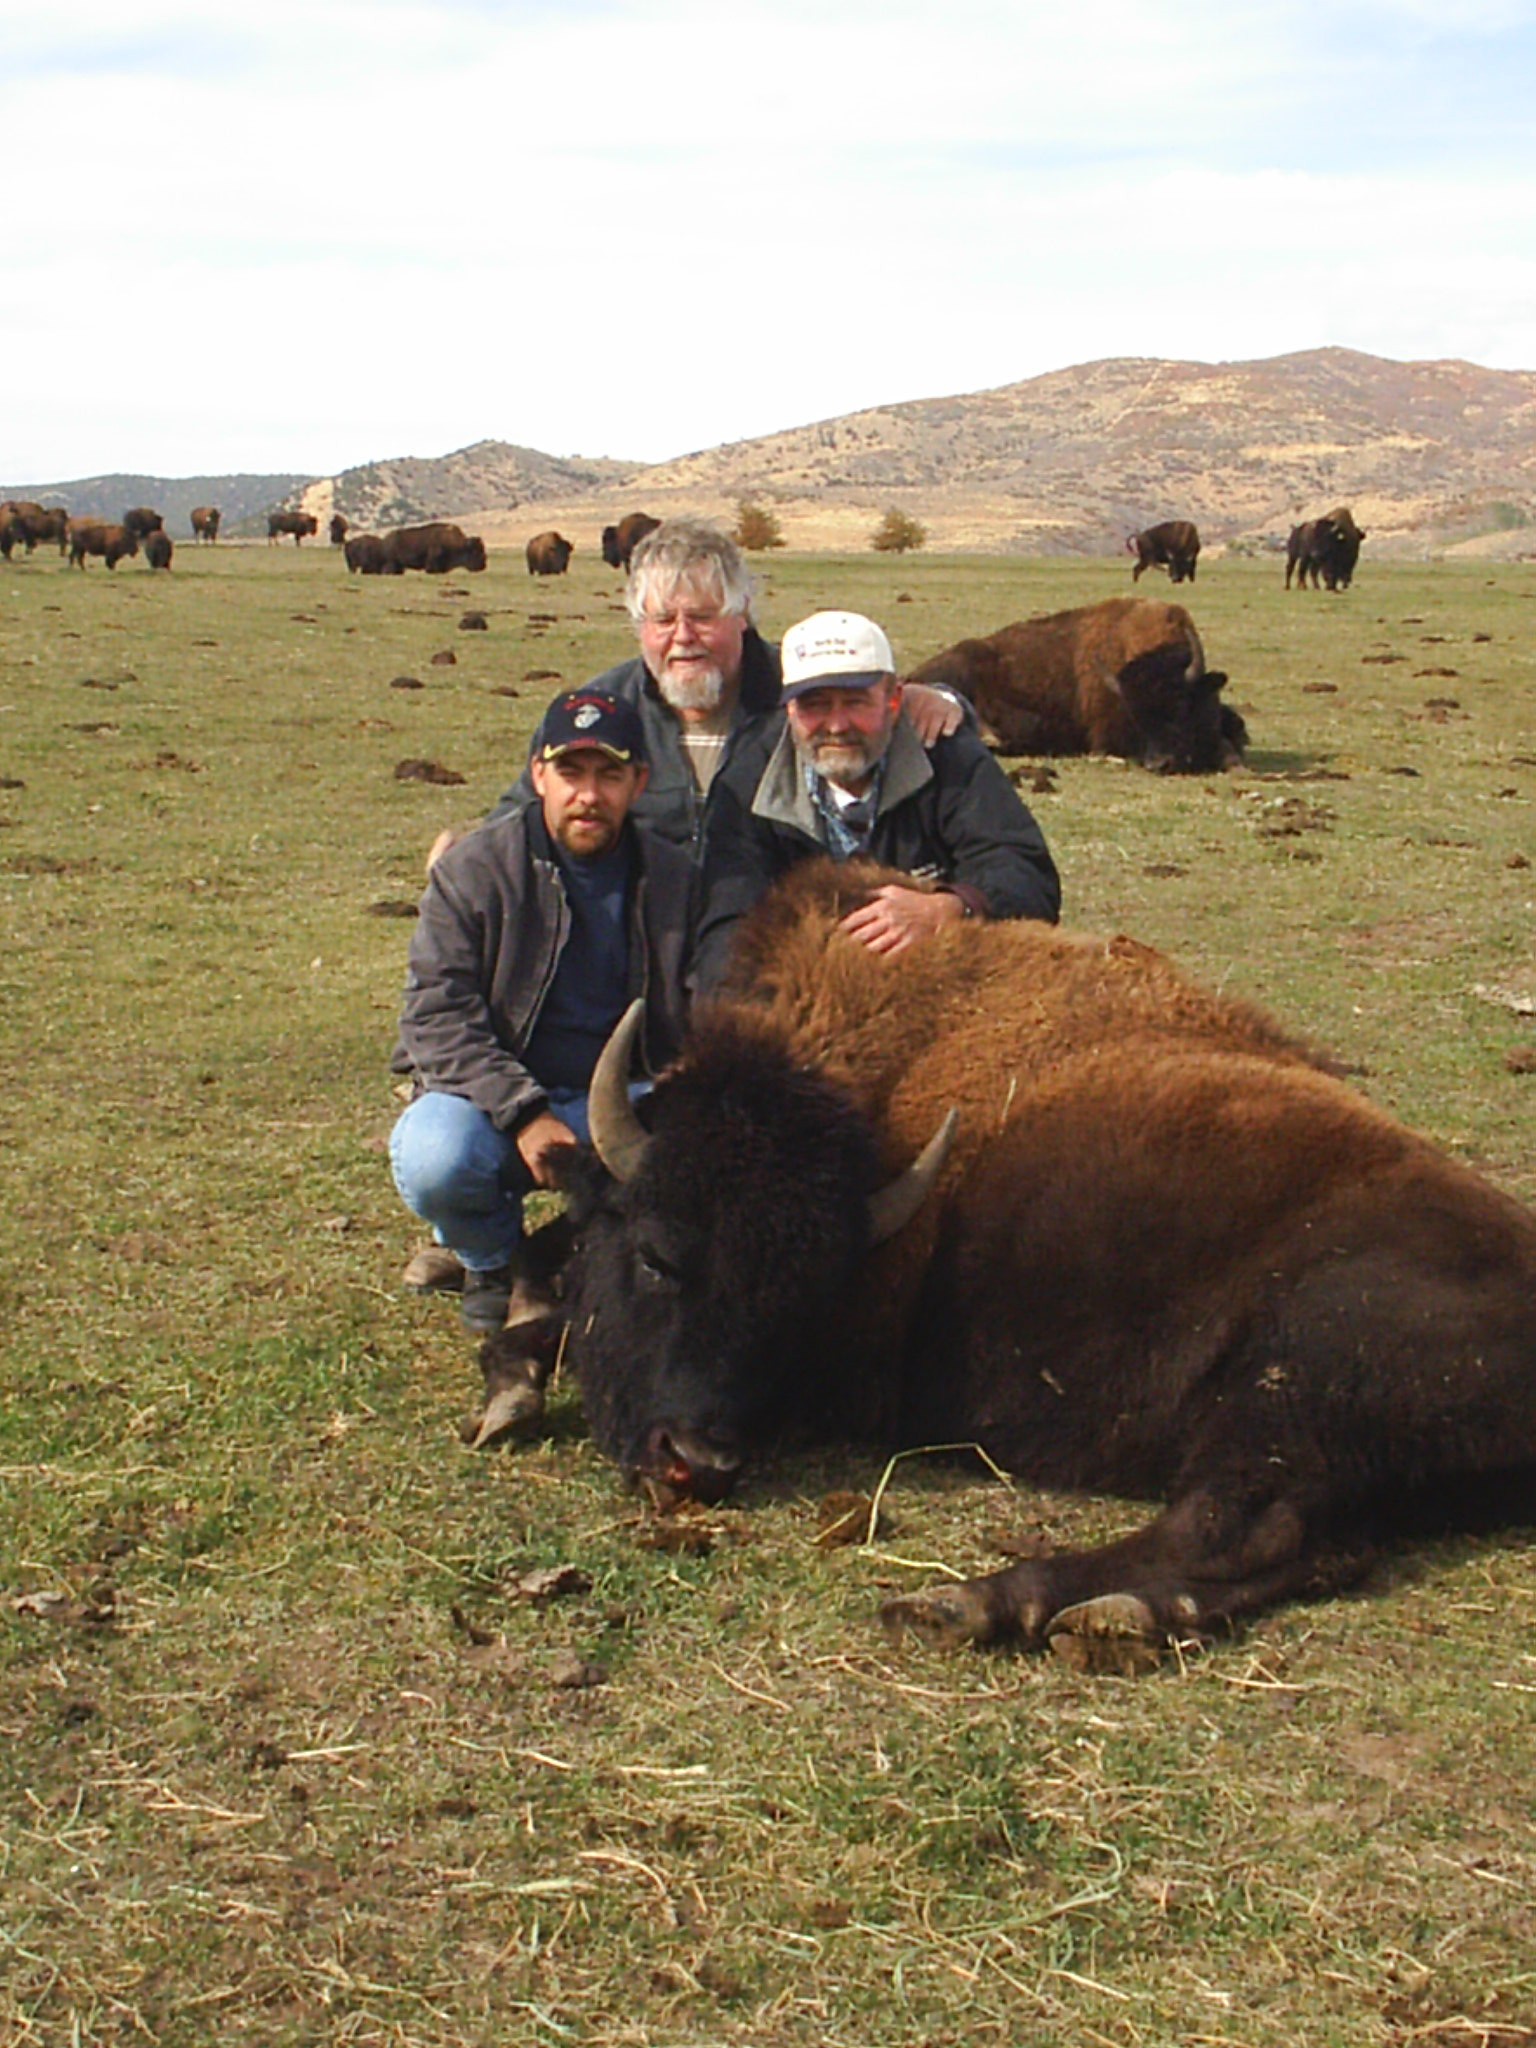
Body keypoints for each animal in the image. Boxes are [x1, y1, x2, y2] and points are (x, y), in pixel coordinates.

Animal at [525, 860, 1536, 1669]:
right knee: (1307, 1547)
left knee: (1232, 1522)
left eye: (800, 1306)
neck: (882, 1068)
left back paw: (968, 1604)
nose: (695, 1463)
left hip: (1293, 1380)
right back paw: (1113, 1620)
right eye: (657, 1255)